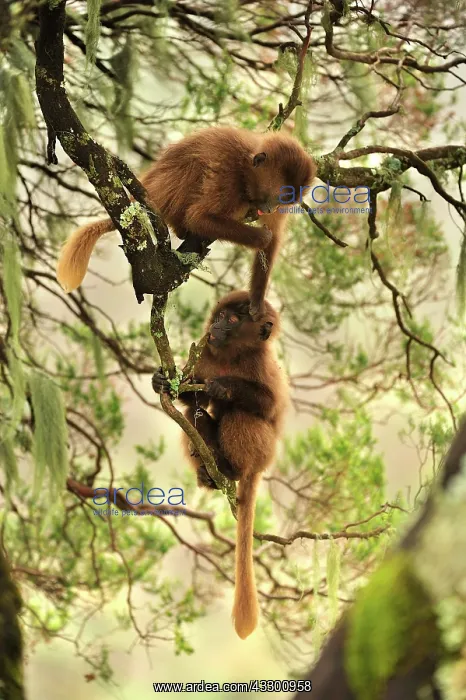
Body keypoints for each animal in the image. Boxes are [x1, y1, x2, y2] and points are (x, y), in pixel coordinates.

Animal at [56, 126, 316, 319]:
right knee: (193, 170)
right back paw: (182, 229)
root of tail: (147, 188)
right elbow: (199, 218)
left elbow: (275, 236)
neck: (246, 169)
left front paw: (256, 303)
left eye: (286, 200)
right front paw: (261, 238)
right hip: (165, 192)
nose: (272, 208)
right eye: (279, 196)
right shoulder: (228, 176)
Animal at [152, 290, 289, 639]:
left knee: (239, 414)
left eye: (233, 319)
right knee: (196, 414)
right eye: (221, 316)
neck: (231, 357)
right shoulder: (206, 354)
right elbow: (192, 398)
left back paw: (231, 470)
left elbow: (268, 405)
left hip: (262, 451)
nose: (215, 325)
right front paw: (161, 381)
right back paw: (209, 472)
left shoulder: (259, 363)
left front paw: (223, 385)